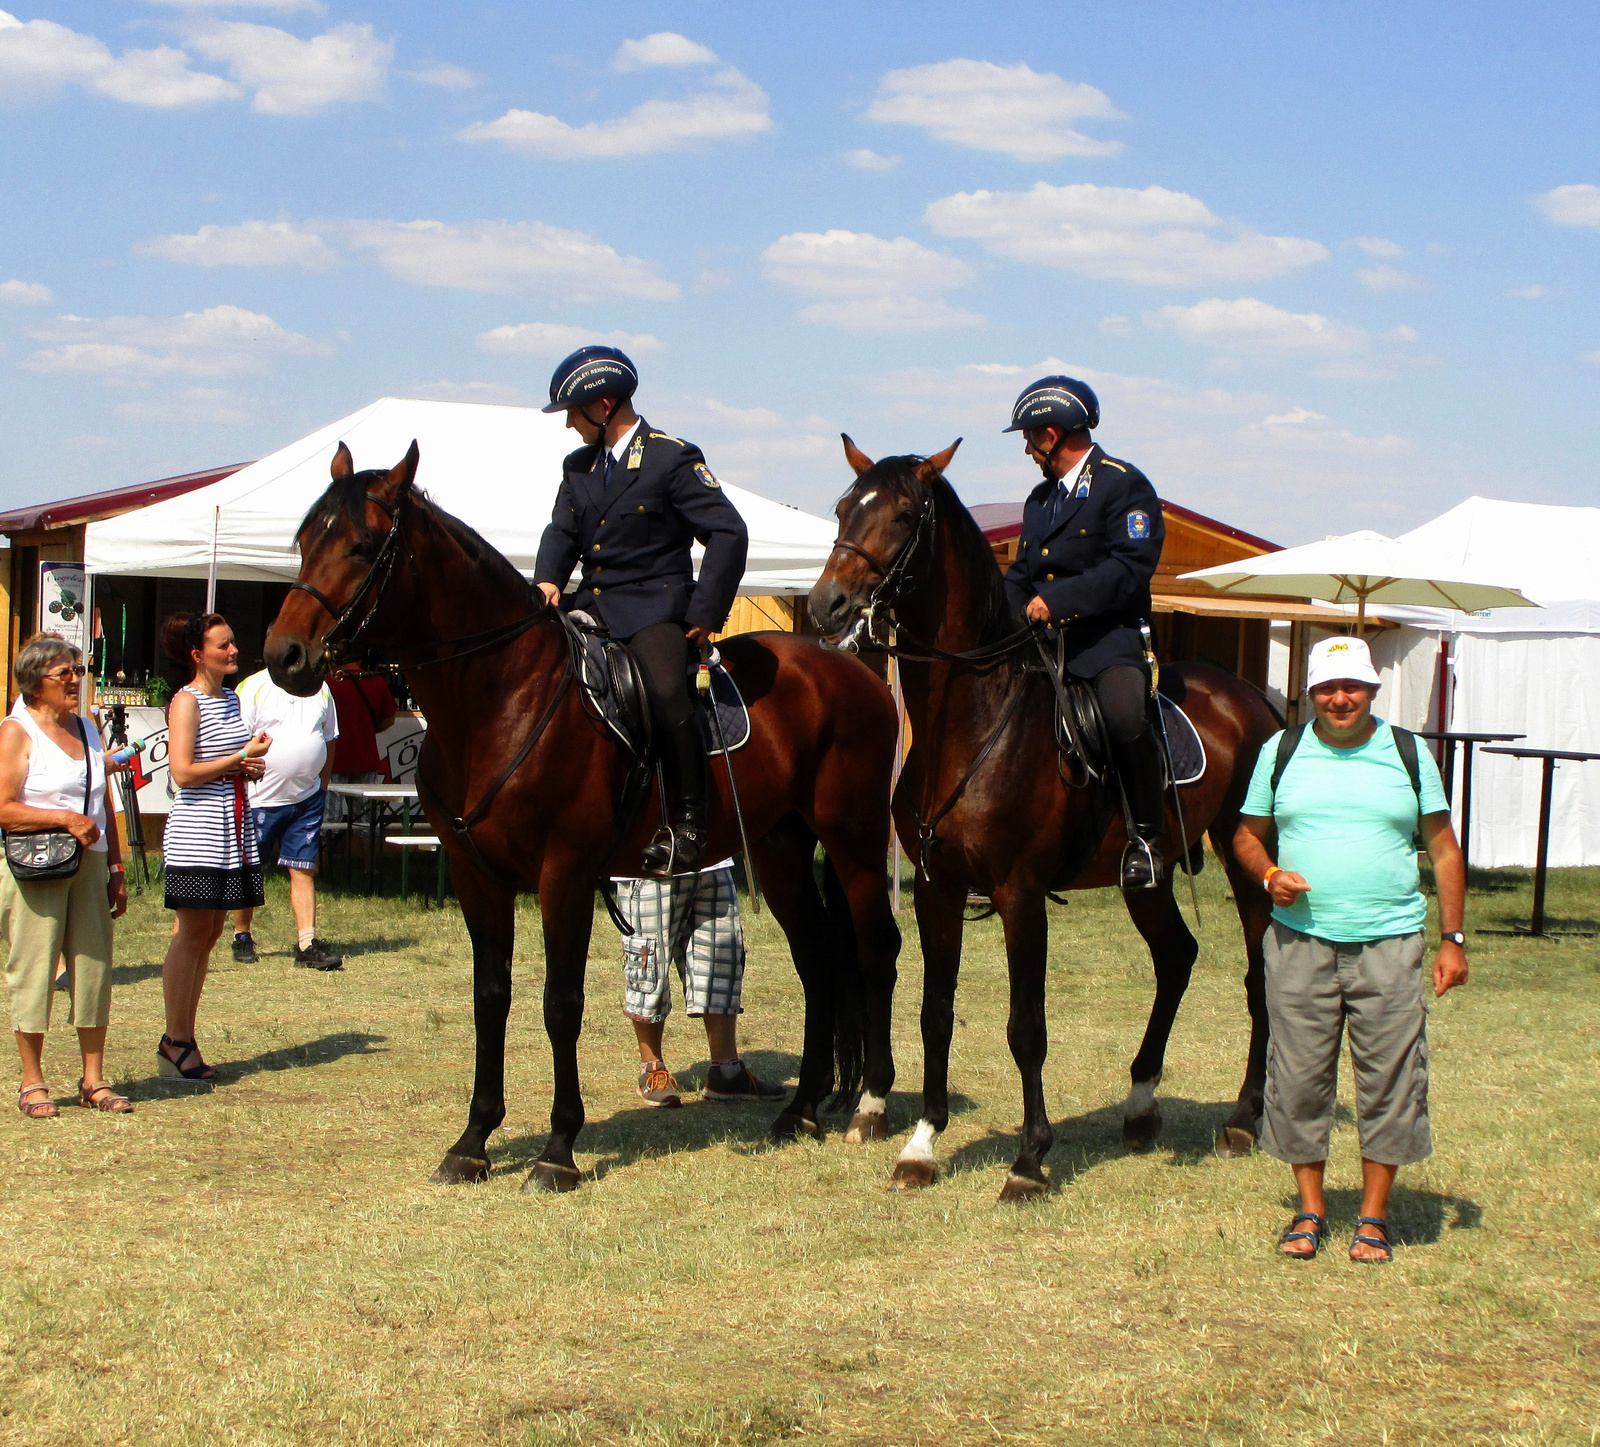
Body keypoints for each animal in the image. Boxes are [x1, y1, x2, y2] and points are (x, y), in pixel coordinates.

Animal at [268, 444, 908, 1190]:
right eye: (304, 542)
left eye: (361, 545)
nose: (284, 655)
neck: (500, 697)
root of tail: (851, 667)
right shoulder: (477, 877)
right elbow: (491, 998)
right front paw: (473, 1139)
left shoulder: (564, 875)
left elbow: (560, 1003)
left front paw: (558, 1147)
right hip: (779, 851)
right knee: (817, 959)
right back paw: (801, 1110)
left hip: (855, 843)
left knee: (875, 949)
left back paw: (872, 1102)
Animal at [806, 435, 1280, 1203]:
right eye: (846, 508)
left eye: (905, 515)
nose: (827, 604)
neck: (969, 721)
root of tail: (1253, 696)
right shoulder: (938, 890)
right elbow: (935, 1012)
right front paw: (922, 1143)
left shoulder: (1020, 894)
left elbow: (1026, 1026)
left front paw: (1029, 1159)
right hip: (1146, 878)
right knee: (1176, 956)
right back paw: (1140, 1105)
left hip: (1247, 860)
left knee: (1258, 976)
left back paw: (1243, 1118)